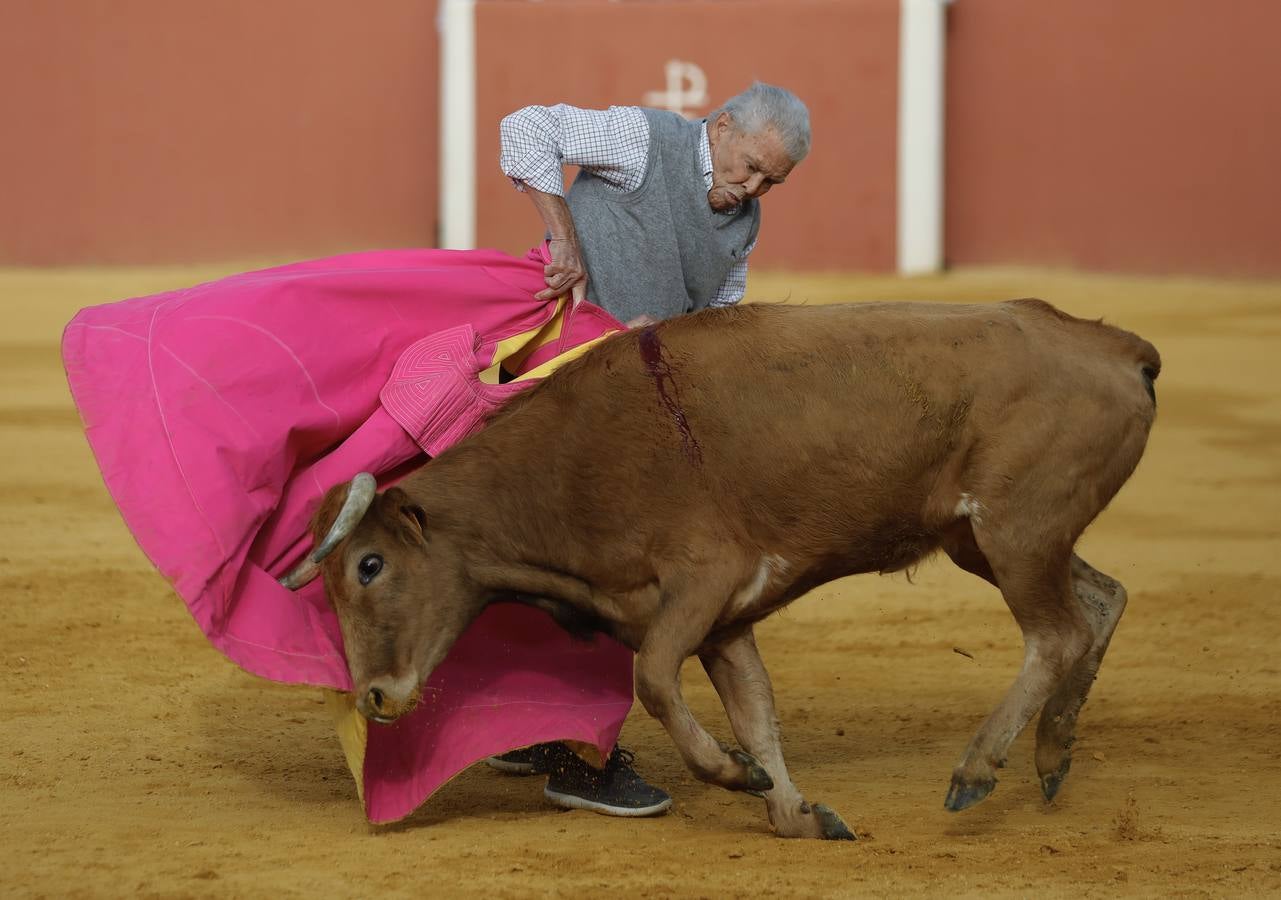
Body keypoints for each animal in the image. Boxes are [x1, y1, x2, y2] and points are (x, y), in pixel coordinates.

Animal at [283, 299, 1163, 839]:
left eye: (368, 565)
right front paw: (795, 812)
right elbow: (756, 714)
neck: (562, 467)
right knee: (1101, 600)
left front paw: (733, 779)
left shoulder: (699, 585)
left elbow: (654, 681)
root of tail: (1116, 345)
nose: (372, 696)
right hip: (979, 539)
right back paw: (1051, 756)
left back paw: (978, 769)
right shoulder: (726, 624)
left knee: (1056, 631)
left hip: (1015, 529)